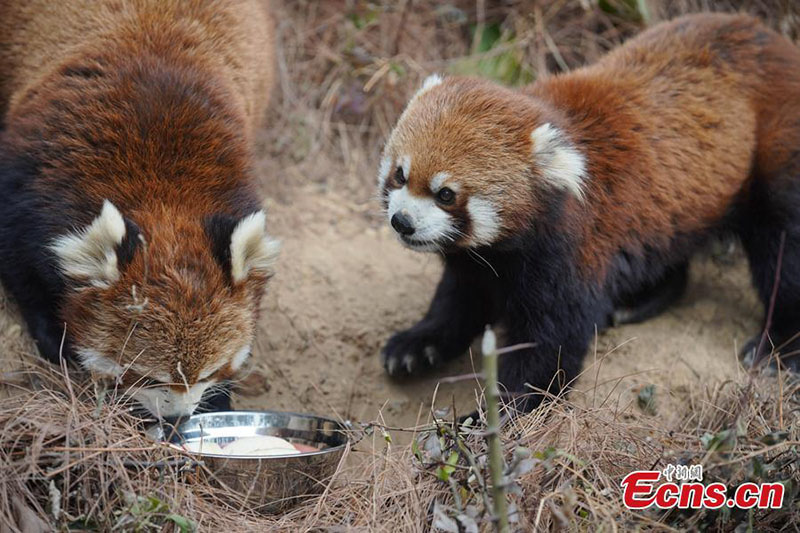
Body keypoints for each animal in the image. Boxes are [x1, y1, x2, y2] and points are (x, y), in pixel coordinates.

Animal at [0, 0, 278, 416]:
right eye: (148, 376)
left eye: (209, 372)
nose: (177, 419)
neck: (163, 194)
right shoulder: (29, 180)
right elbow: (21, 269)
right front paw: (56, 338)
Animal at [378, 13, 800, 412]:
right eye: (400, 175)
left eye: (446, 194)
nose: (403, 222)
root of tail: (774, 39)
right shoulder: (480, 261)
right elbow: (459, 299)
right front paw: (418, 344)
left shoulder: (572, 250)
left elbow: (549, 350)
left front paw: (487, 420)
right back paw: (638, 301)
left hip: (775, 154)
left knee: (782, 250)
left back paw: (777, 346)